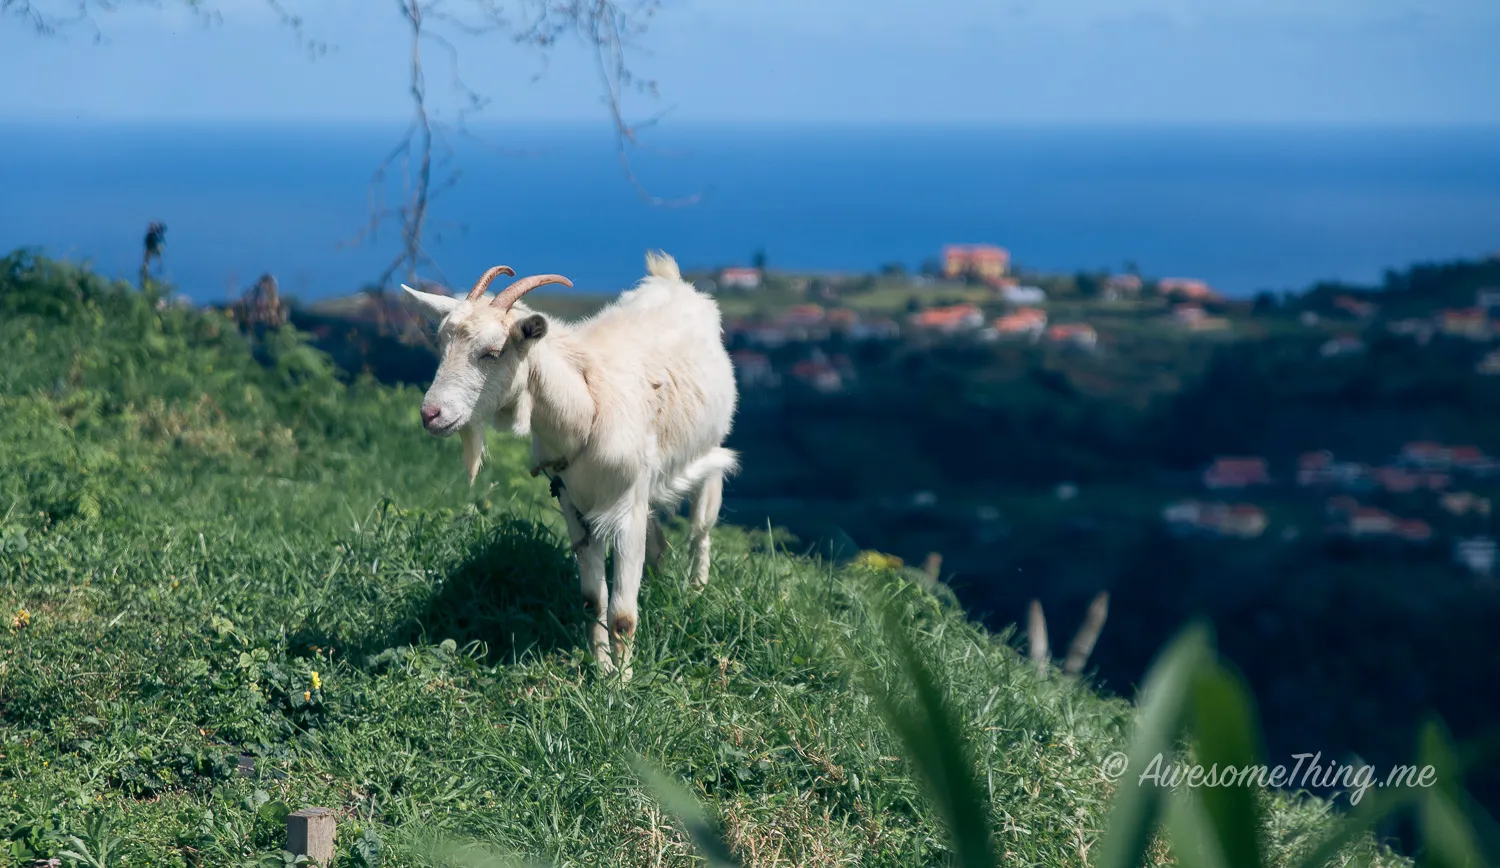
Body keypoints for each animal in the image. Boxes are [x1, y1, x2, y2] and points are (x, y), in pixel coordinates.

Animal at [401, 252, 739, 677]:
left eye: (493, 352)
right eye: (441, 343)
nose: (431, 414)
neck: (586, 405)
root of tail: (671, 280)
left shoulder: (626, 508)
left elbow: (623, 613)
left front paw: (623, 683)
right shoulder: (574, 504)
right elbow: (593, 600)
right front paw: (602, 669)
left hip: (710, 451)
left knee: (700, 528)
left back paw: (695, 592)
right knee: (659, 540)